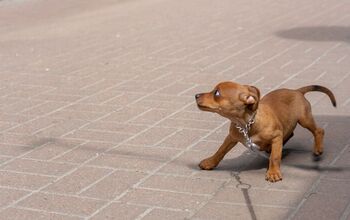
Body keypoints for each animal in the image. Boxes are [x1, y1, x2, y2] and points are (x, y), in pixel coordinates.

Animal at [196, 82, 334, 182]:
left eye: (217, 93)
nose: (196, 95)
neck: (246, 124)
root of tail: (297, 91)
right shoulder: (231, 137)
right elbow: (221, 150)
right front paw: (210, 162)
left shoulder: (276, 137)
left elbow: (275, 157)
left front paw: (273, 173)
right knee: (290, 133)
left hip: (304, 119)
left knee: (319, 130)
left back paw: (318, 148)